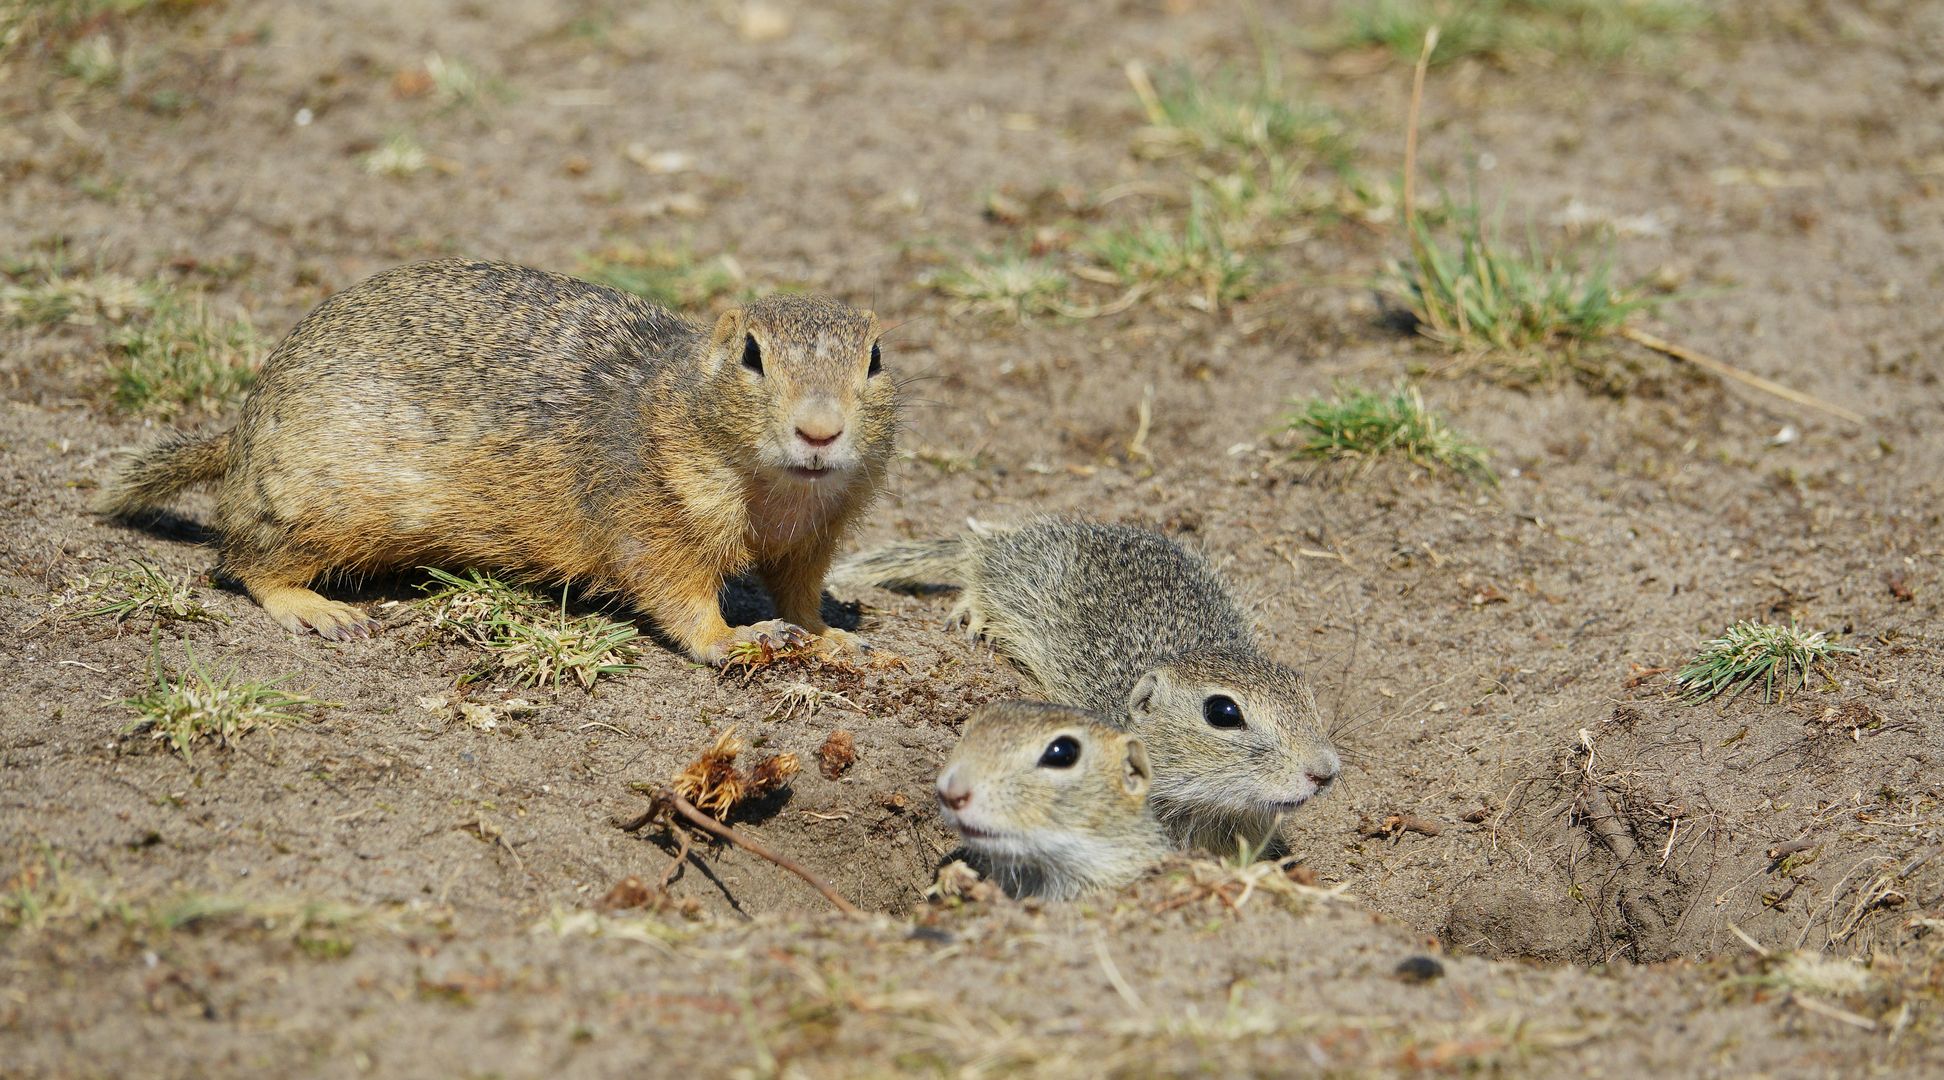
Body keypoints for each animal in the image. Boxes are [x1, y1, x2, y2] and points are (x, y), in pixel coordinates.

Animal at [94, 260, 898, 668]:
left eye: (877, 357)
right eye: (752, 356)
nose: (820, 431)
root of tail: (238, 438)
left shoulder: (816, 537)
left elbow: (800, 593)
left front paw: (834, 637)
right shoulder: (650, 514)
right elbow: (678, 596)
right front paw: (739, 638)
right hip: (322, 511)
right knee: (241, 561)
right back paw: (320, 611)